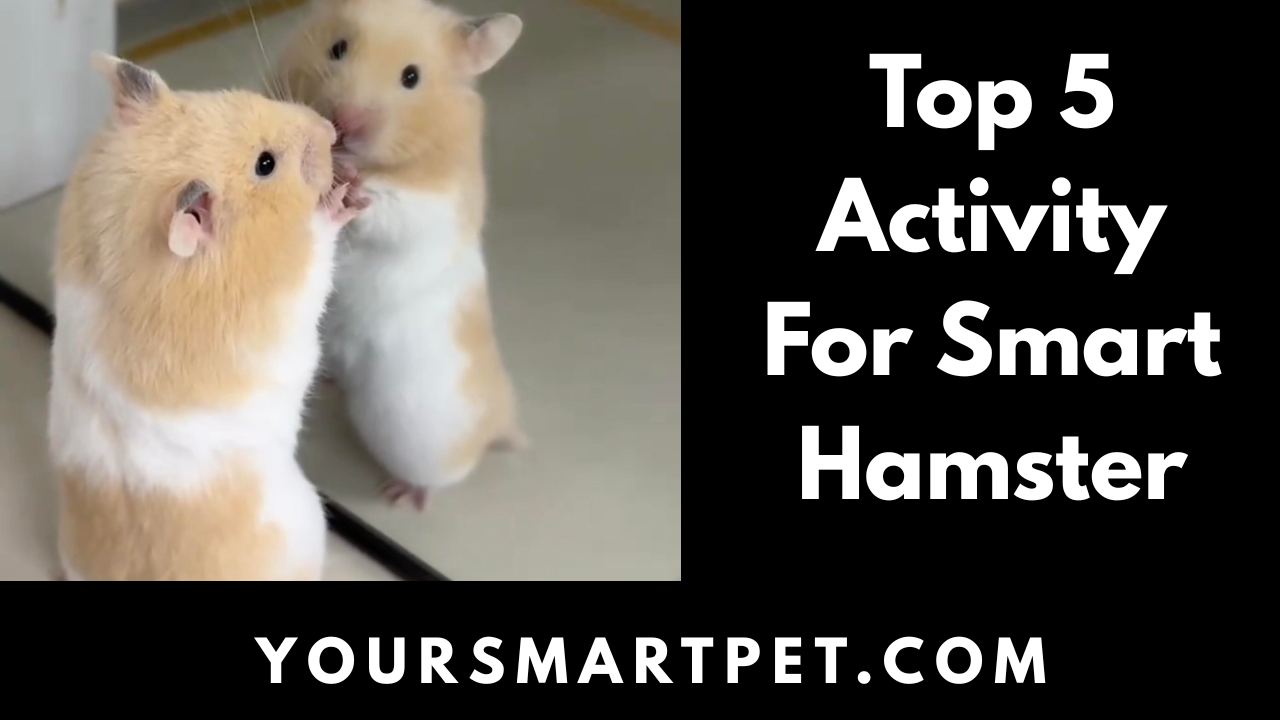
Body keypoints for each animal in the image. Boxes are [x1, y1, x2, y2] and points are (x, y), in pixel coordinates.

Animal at [47, 55, 368, 580]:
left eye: (233, 96)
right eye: (265, 164)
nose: (328, 128)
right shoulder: (297, 288)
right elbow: (321, 242)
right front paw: (348, 196)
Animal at [277, 0, 525, 510]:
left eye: (411, 77)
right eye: (337, 48)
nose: (344, 123)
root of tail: (504, 417)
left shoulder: (435, 208)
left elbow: (390, 210)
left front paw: (355, 185)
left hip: (419, 432)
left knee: (449, 471)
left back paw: (401, 494)